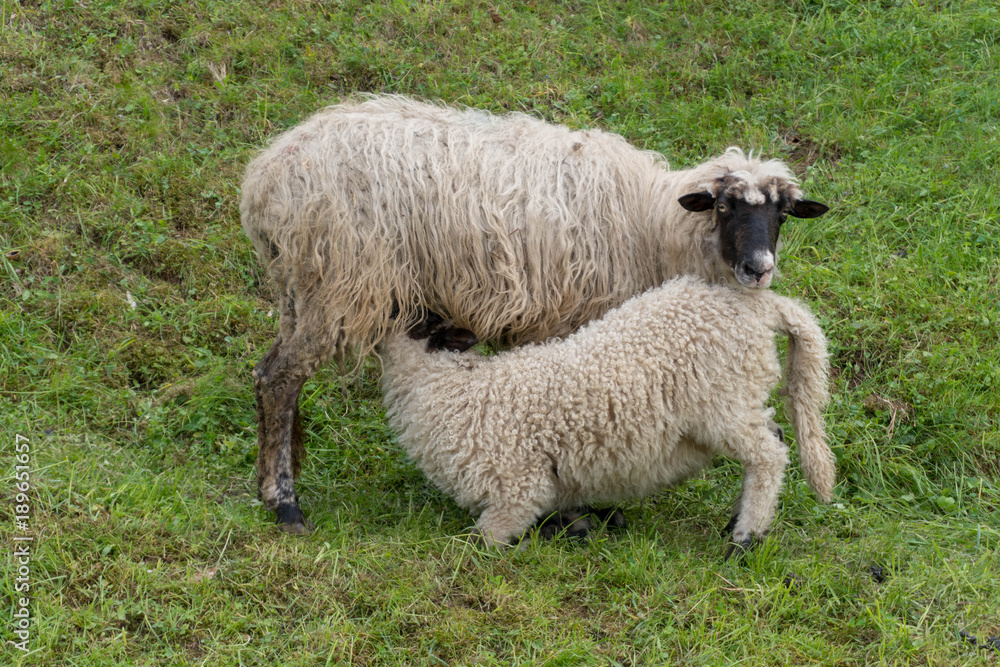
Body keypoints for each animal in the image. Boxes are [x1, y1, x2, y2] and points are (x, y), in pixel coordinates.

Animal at [380, 277, 835, 556]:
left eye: (420, 315)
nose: (390, 299)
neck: (453, 389)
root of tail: (758, 308)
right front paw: (586, 526)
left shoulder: (517, 488)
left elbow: (482, 543)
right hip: (738, 403)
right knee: (773, 436)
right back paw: (736, 522)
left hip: (722, 403)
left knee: (768, 456)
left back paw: (745, 538)